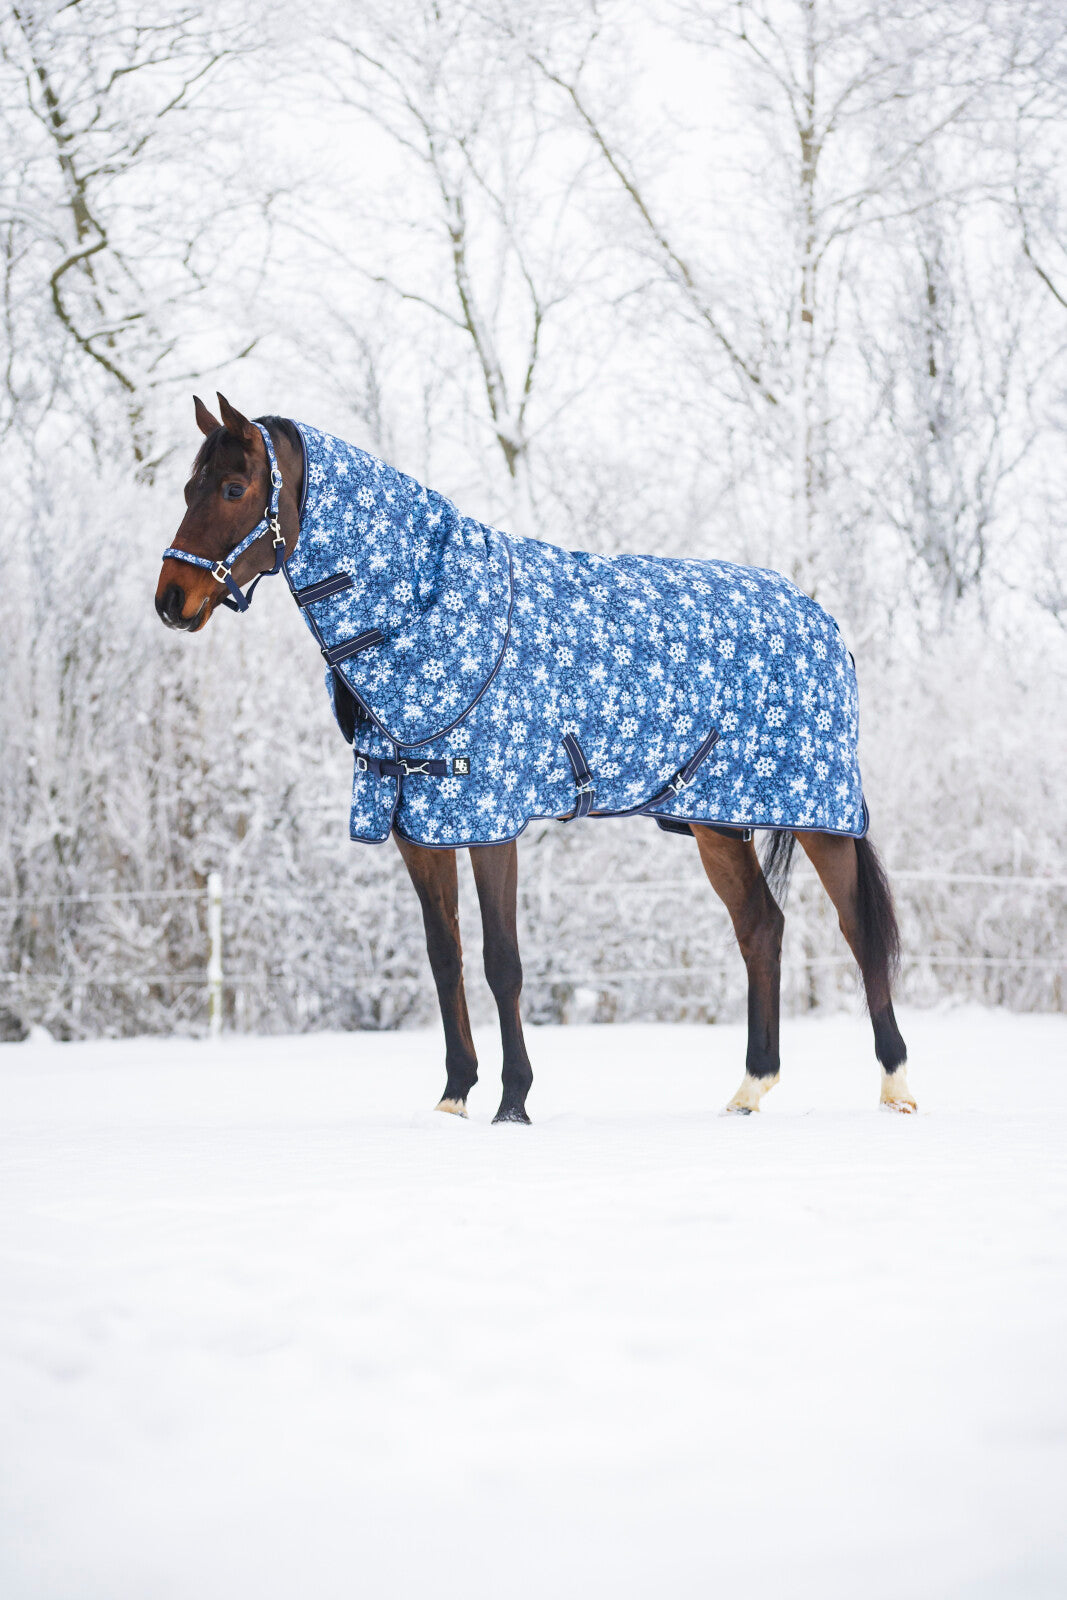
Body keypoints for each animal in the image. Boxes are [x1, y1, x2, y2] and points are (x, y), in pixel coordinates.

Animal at [156, 392, 916, 1121]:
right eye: (189, 487)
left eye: (232, 488)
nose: (171, 599)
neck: (428, 613)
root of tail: (820, 618)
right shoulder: (418, 825)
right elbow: (445, 957)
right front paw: (454, 1096)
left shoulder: (491, 821)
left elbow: (502, 961)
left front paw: (512, 1102)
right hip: (716, 821)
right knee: (759, 927)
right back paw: (750, 1089)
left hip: (818, 814)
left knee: (857, 928)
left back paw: (895, 1086)